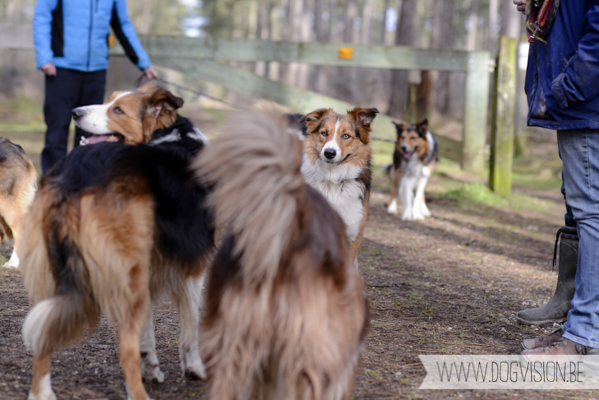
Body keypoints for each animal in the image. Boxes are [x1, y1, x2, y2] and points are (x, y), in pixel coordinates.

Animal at [18, 83, 214, 400]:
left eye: (117, 109)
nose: (76, 112)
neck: (167, 134)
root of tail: (76, 173)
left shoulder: (149, 272)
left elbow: (147, 333)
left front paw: (152, 368)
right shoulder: (193, 266)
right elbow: (191, 324)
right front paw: (194, 368)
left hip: (60, 275)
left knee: (43, 333)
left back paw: (41, 393)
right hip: (127, 274)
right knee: (124, 351)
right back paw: (139, 395)